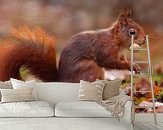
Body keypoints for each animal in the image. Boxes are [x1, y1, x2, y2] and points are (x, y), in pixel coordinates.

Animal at [0, 9, 145, 82]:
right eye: (132, 32)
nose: (144, 40)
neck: (116, 41)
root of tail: (62, 82)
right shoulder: (105, 51)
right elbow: (110, 62)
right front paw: (129, 66)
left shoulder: (120, 54)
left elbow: (122, 60)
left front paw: (135, 65)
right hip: (89, 67)